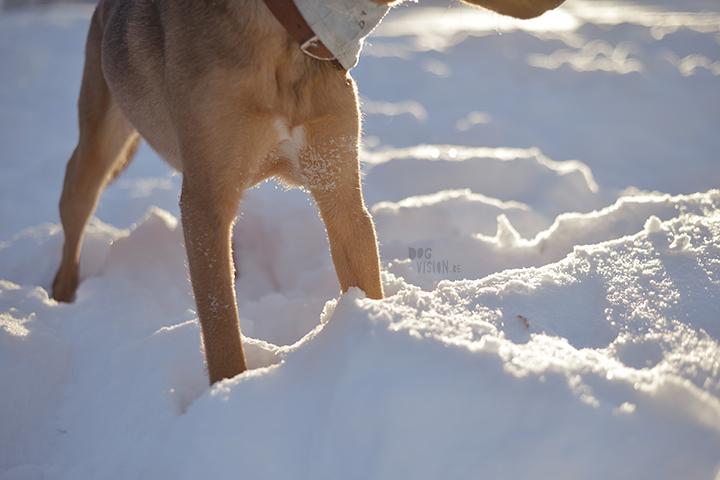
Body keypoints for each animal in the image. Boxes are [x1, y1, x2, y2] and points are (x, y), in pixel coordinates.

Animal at [53, 0, 564, 384]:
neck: (293, 35)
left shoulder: (339, 191)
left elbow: (364, 283)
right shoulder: (204, 199)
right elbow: (220, 328)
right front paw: (226, 397)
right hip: (98, 147)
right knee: (75, 212)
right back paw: (61, 296)